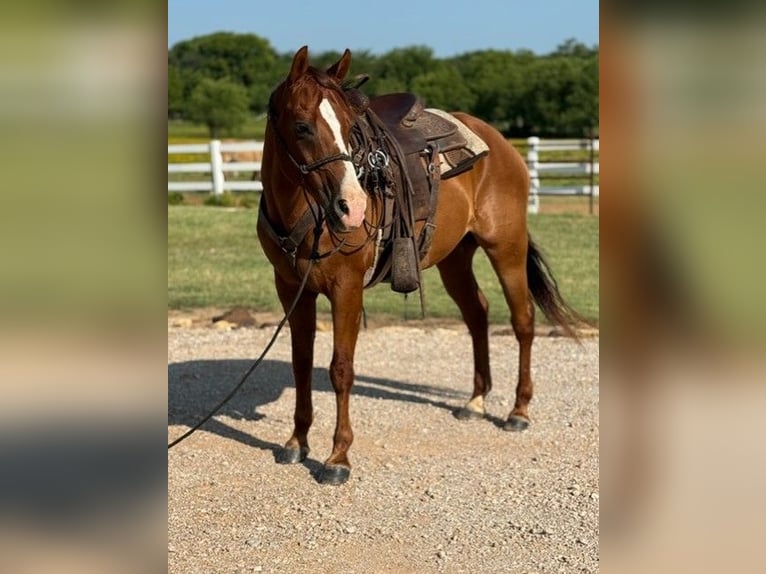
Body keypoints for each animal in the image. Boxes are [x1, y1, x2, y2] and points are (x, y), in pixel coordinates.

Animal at [257, 46, 581, 485]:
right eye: (302, 127)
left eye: (350, 127)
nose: (353, 207)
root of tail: (499, 142)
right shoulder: (292, 288)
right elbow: (301, 363)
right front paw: (296, 441)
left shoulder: (346, 288)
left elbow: (341, 368)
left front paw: (338, 457)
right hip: (456, 258)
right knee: (478, 314)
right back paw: (476, 401)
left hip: (506, 246)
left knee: (523, 319)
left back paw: (518, 411)